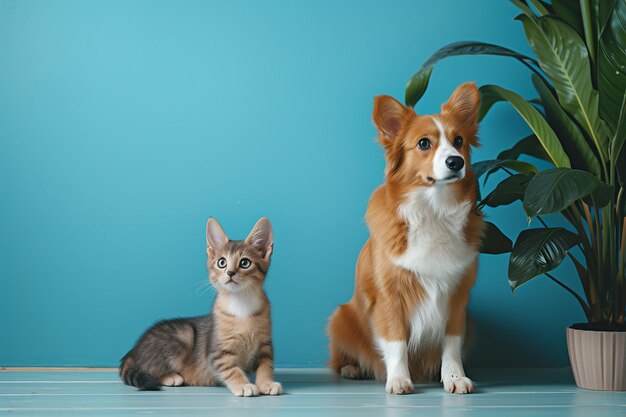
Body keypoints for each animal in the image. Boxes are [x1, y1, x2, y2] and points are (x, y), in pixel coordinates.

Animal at [119, 216, 280, 394]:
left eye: (245, 263)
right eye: (222, 262)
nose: (230, 273)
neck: (241, 304)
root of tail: (133, 351)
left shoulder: (265, 345)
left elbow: (266, 365)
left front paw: (266, 383)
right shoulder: (217, 352)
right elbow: (231, 369)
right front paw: (243, 385)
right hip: (184, 335)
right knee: (148, 368)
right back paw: (171, 377)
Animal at [326, 82, 482, 394]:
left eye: (459, 140)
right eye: (423, 143)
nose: (456, 162)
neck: (434, 209)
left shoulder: (458, 299)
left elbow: (451, 345)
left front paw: (454, 377)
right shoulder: (391, 297)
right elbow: (396, 342)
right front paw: (399, 379)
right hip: (340, 317)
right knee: (340, 358)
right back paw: (353, 369)